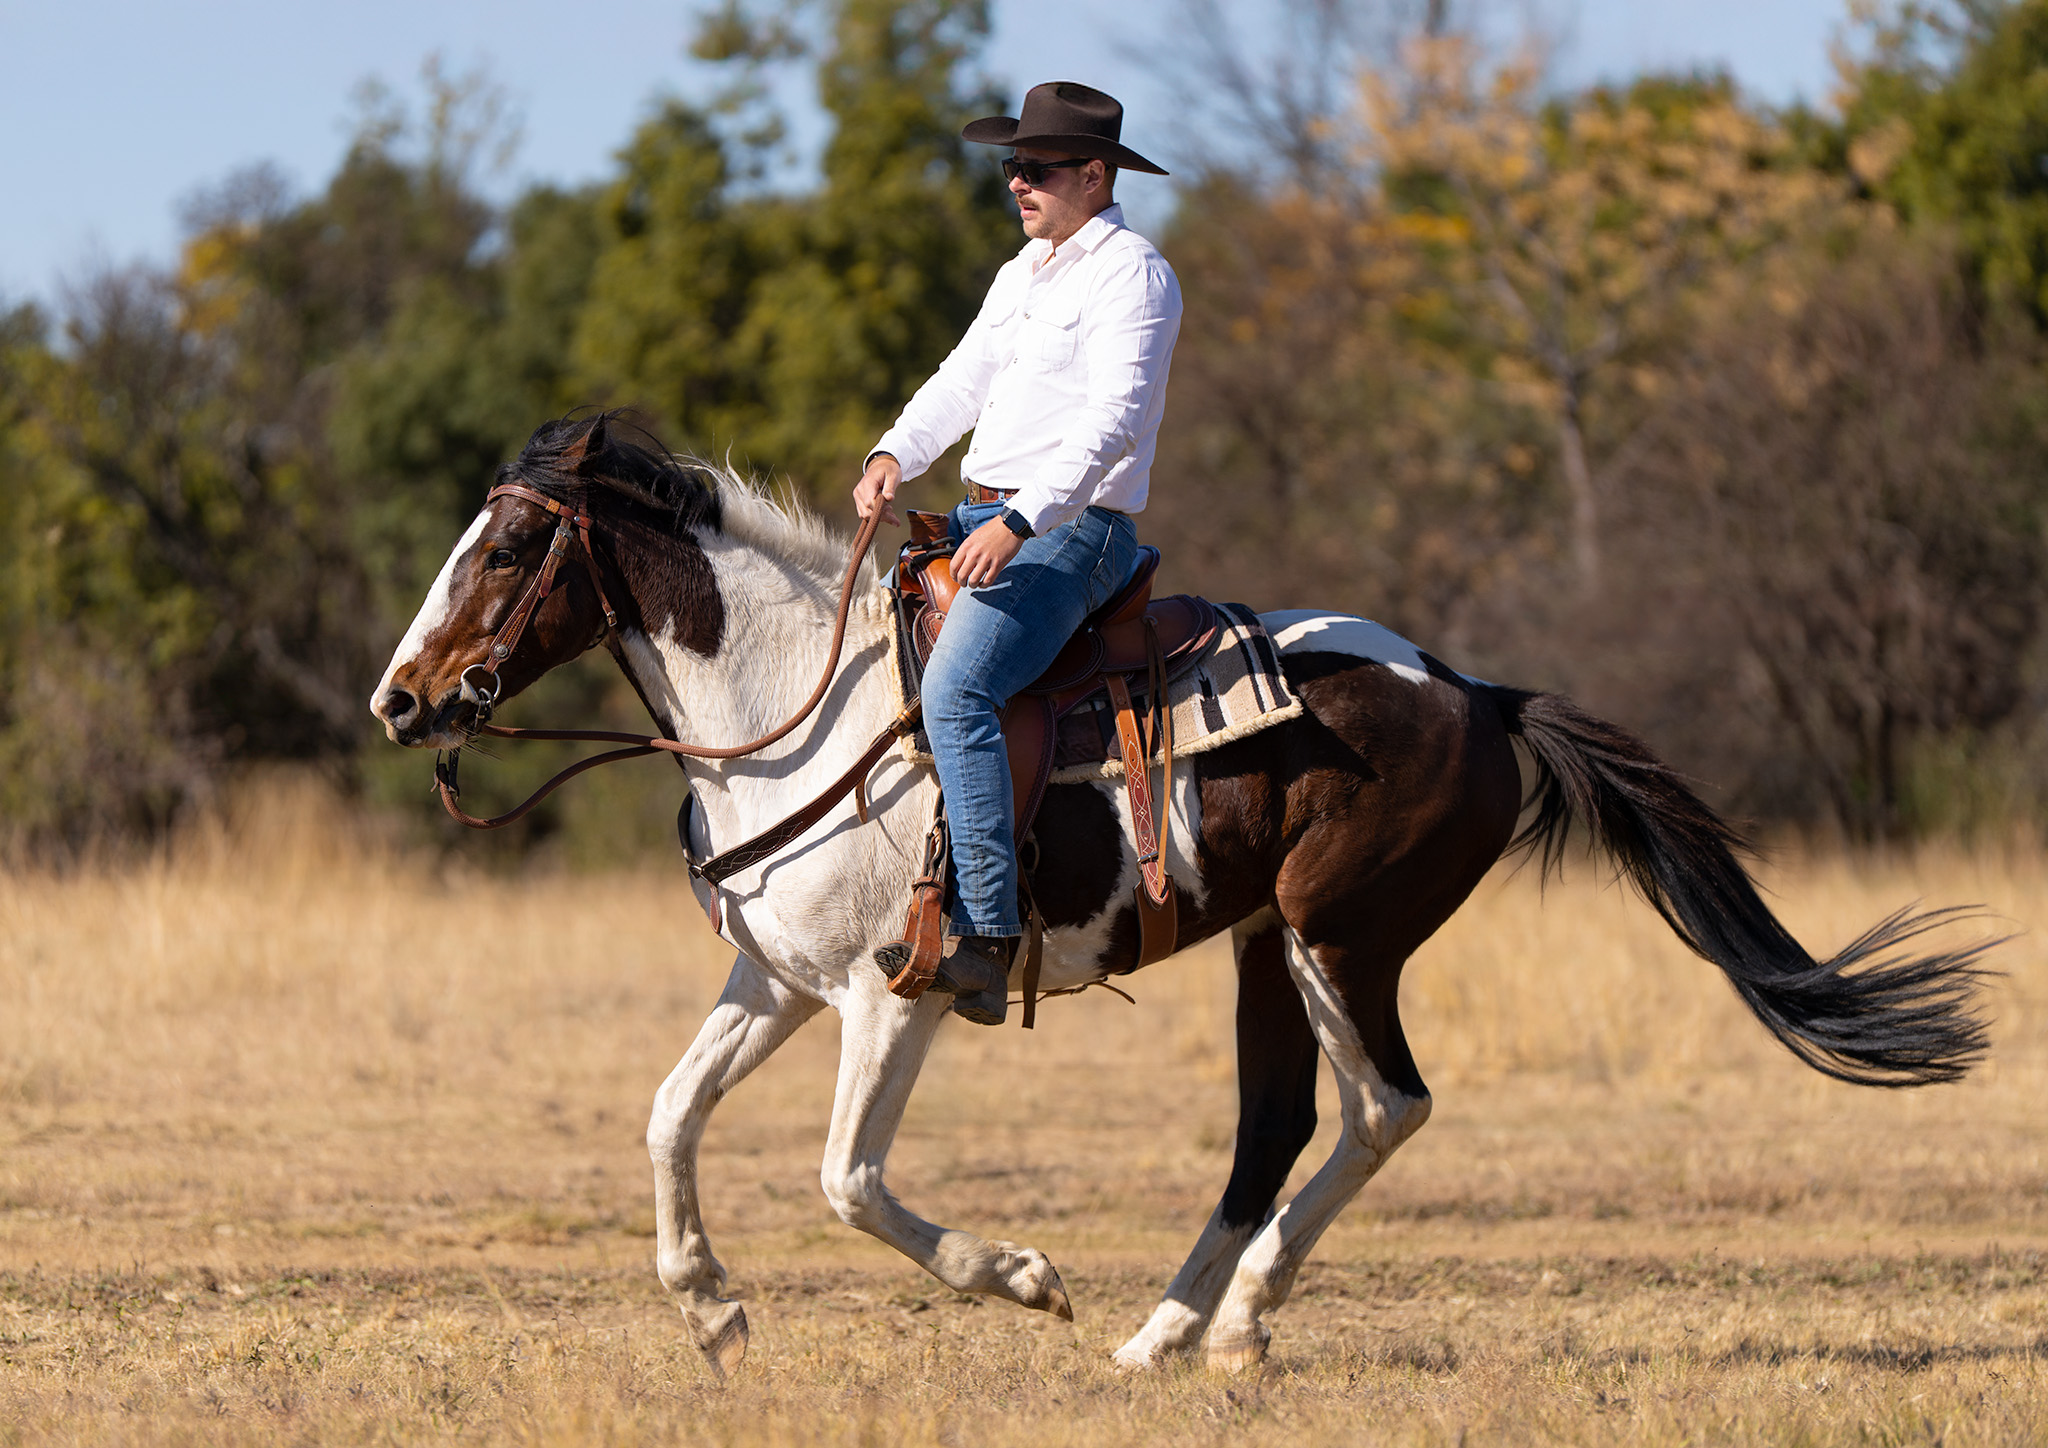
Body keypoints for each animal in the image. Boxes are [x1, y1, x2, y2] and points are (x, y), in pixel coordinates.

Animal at [370, 412, 1992, 1377]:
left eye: (508, 545)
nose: (401, 699)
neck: (798, 711)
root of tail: (1475, 693)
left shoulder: (891, 999)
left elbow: (846, 1179)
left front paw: (1021, 1275)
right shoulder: (772, 981)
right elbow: (667, 1115)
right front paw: (710, 1306)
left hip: (1343, 935)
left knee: (1381, 1108)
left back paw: (1234, 1321)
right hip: (1270, 944)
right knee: (1278, 1124)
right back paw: (1166, 1331)